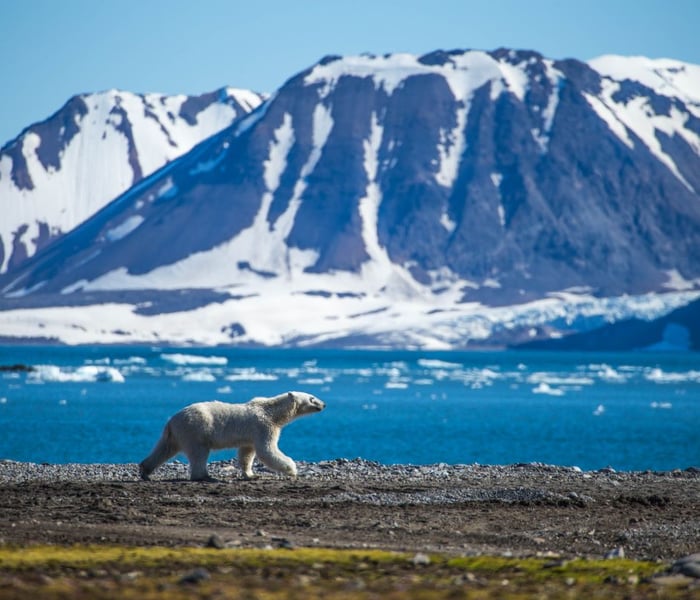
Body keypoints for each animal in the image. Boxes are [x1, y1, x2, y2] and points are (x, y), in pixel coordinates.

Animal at [138, 391, 325, 481]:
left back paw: (145, 471)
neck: (272, 412)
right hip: (195, 429)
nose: (323, 404)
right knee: (199, 453)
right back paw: (205, 476)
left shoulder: (251, 435)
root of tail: (171, 419)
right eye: (312, 398)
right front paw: (292, 469)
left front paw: (250, 474)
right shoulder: (263, 427)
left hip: (176, 433)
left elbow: (247, 453)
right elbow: (267, 450)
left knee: (164, 449)